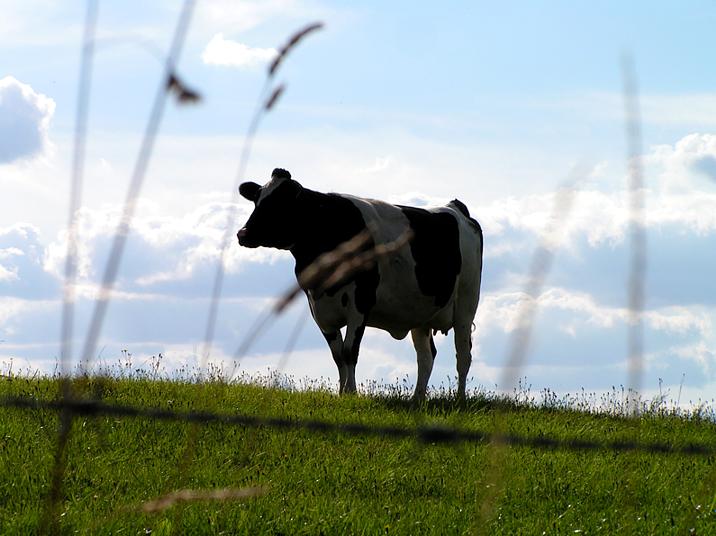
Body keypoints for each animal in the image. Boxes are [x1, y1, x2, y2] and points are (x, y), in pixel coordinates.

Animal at [238, 168, 484, 398]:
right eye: (257, 198)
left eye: (279, 202)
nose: (243, 233)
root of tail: (454, 207)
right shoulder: (318, 308)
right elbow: (338, 355)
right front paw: (341, 393)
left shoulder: (360, 301)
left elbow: (349, 351)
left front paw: (351, 393)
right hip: (422, 314)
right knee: (426, 356)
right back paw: (417, 399)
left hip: (466, 303)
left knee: (463, 354)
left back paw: (460, 399)